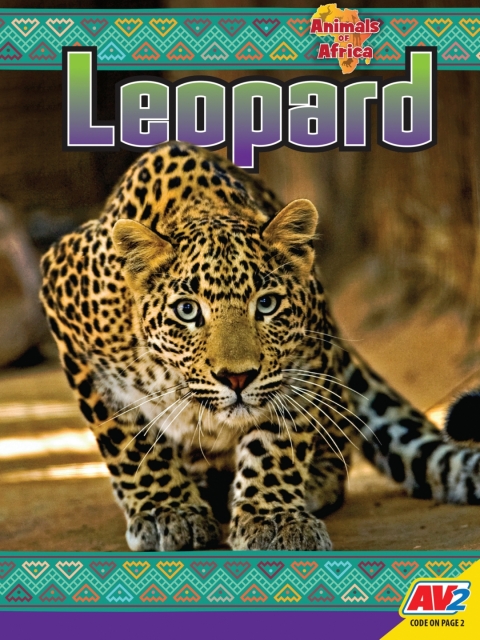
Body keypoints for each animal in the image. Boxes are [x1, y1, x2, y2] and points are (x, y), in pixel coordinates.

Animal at [40, 141, 480, 551]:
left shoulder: (305, 361)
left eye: (266, 304)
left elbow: (277, 443)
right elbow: (128, 441)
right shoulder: (67, 313)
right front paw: (167, 511)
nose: (238, 378)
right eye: (187, 310)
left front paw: (273, 518)